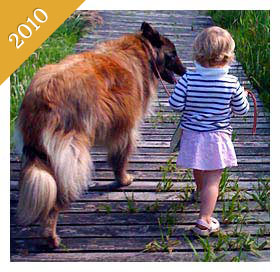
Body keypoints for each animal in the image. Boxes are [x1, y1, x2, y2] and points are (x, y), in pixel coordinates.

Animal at [15, 21, 186, 246]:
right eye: (173, 54)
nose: (185, 70)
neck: (143, 50)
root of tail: (42, 96)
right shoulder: (127, 130)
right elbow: (120, 159)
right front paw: (123, 180)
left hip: (38, 153)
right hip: (73, 154)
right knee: (57, 197)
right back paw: (51, 237)